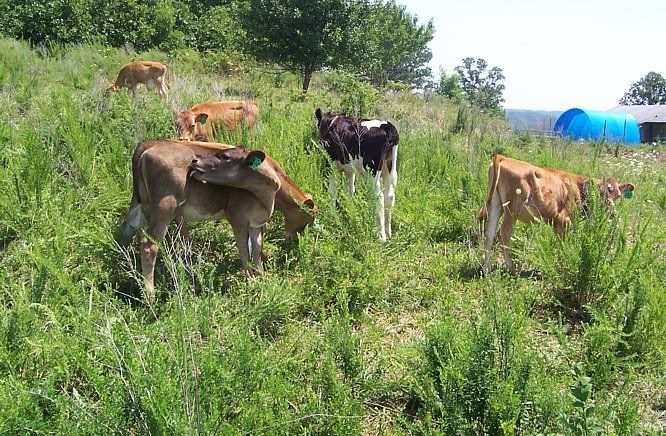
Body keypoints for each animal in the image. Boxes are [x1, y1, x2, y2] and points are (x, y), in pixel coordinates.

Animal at [120, 139, 281, 302]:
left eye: (225, 156)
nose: (195, 161)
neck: (265, 198)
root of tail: (146, 146)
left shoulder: (256, 223)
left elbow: (257, 250)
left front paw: (261, 278)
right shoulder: (238, 217)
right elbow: (244, 251)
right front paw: (250, 283)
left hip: (139, 202)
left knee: (124, 232)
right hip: (165, 205)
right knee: (149, 245)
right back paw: (150, 296)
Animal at [314, 108, 399, 241]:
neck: (330, 123)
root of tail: (386, 125)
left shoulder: (331, 164)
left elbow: (332, 191)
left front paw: (332, 214)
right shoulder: (350, 169)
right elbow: (350, 190)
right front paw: (349, 209)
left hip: (372, 172)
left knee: (379, 197)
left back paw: (381, 236)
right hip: (388, 168)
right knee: (389, 196)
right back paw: (388, 232)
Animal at [480, 154, 635, 273]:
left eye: (618, 195)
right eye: (601, 193)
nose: (612, 212)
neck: (578, 187)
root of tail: (505, 158)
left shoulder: (556, 222)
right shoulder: (564, 220)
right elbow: (563, 244)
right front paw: (564, 267)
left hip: (495, 205)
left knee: (489, 233)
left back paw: (486, 269)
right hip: (512, 209)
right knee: (504, 234)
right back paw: (511, 268)